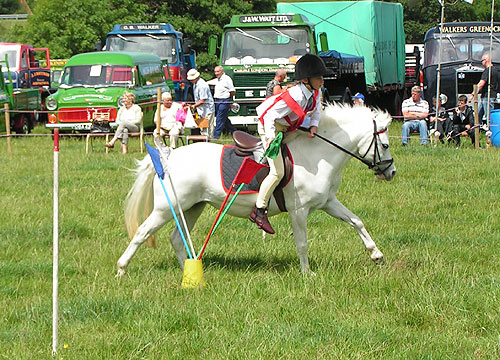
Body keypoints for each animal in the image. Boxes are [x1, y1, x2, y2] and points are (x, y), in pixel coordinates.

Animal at [116, 104, 394, 276]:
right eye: (386, 145)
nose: (391, 172)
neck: (317, 156)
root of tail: (168, 156)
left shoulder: (328, 202)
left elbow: (356, 221)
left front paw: (376, 254)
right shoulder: (299, 211)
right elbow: (302, 242)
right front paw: (307, 273)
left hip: (192, 207)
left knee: (176, 238)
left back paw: (189, 270)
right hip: (167, 207)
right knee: (142, 233)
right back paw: (121, 268)